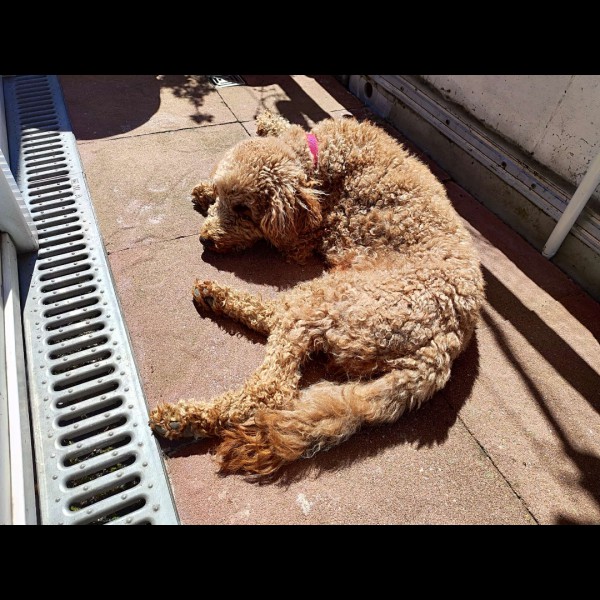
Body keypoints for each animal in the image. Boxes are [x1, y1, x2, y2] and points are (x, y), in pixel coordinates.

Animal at [149, 110, 485, 477]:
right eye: (224, 198)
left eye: (243, 209)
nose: (206, 240)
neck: (320, 158)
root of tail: (440, 350)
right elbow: (287, 126)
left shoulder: (301, 242)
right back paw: (215, 297)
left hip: (330, 298)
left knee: (271, 388)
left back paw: (184, 416)